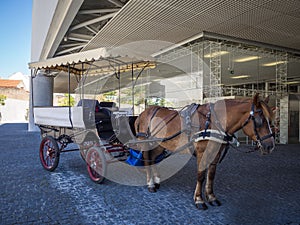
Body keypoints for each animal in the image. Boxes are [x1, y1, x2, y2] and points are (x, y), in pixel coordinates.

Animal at [135, 93, 276, 209]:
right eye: (259, 120)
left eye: (270, 120)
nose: (270, 146)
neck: (213, 121)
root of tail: (142, 113)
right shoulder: (202, 153)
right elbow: (201, 176)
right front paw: (199, 200)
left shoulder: (216, 153)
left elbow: (211, 175)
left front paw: (211, 197)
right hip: (146, 142)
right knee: (147, 159)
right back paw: (151, 184)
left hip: (159, 144)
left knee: (153, 158)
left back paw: (156, 180)